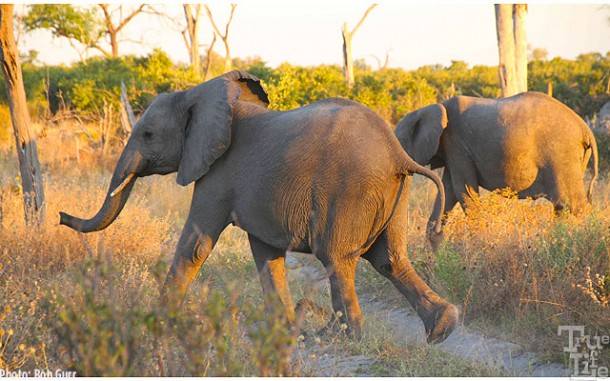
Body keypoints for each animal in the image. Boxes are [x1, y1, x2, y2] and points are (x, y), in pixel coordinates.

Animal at [60, 70, 456, 342]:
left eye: (147, 135)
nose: (61, 216)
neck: (199, 95)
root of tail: (398, 154)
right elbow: (266, 253)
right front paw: (285, 330)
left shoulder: (216, 173)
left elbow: (195, 245)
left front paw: (158, 321)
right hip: (392, 193)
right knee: (390, 259)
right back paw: (441, 329)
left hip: (351, 191)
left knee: (337, 259)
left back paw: (339, 337)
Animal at [392, 90, 596, 238]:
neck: (429, 109)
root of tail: (585, 129)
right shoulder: (454, 151)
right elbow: (449, 192)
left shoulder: (456, 144)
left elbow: (463, 191)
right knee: (561, 206)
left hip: (561, 154)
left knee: (573, 205)